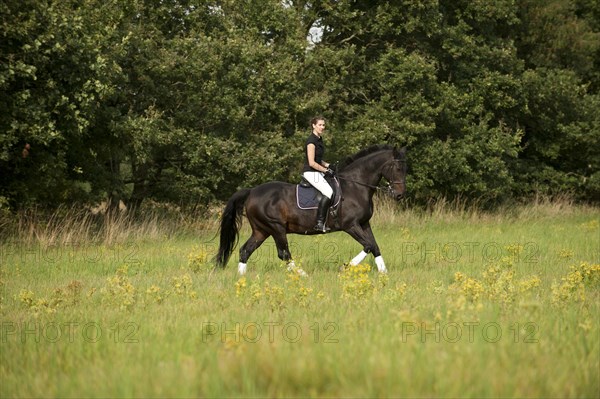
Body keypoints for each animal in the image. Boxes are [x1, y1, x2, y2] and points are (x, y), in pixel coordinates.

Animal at [216, 145, 408, 276]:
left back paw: (242, 279)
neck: (356, 186)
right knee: (283, 254)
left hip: (261, 230)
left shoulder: (364, 223)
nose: (399, 195)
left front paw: (384, 273)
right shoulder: (350, 225)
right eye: (398, 168)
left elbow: (375, 246)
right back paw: (303, 275)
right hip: (276, 228)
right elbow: (368, 245)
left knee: (245, 251)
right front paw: (344, 268)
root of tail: (251, 192)